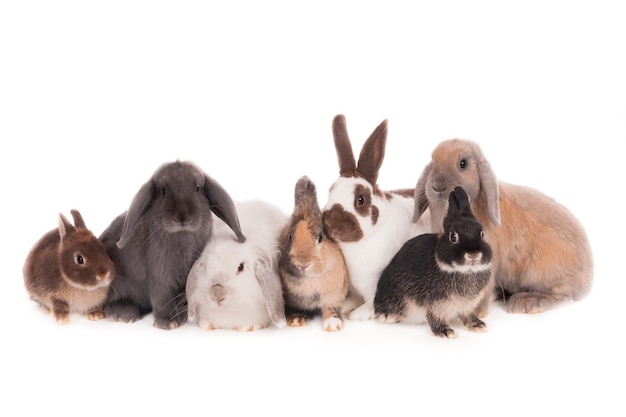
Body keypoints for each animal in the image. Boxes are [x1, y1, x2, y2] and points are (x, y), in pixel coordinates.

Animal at [276, 174, 348, 330]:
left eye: (320, 237)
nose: (303, 264)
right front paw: (296, 320)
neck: (310, 279)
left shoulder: (334, 294)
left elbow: (331, 308)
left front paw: (332, 325)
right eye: (290, 237)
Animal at [320, 114, 432, 318]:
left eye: (361, 199)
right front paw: (345, 306)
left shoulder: (376, 282)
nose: (332, 226)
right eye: (330, 190)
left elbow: (372, 300)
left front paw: (360, 314)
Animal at [372, 187, 490, 336]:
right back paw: (388, 316)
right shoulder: (436, 305)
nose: (473, 254)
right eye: (453, 236)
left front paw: (478, 325)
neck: (465, 271)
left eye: (482, 234)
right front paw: (446, 332)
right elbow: (435, 318)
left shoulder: (467, 306)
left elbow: (467, 315)